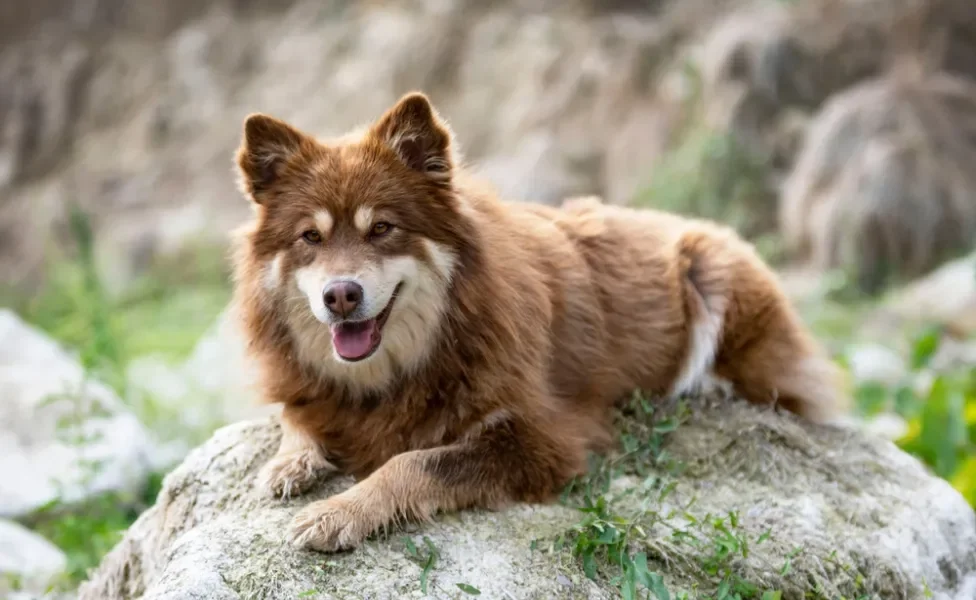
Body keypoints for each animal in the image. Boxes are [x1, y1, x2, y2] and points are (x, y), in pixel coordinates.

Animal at [231, 91, 848, 556]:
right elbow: (296, 415)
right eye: (310, 237)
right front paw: (290, 462)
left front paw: (341, 510)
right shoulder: (311, 390)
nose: (340, 296)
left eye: (382, 228)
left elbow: (416, 462)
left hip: (713, 269)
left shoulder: (542, 440)